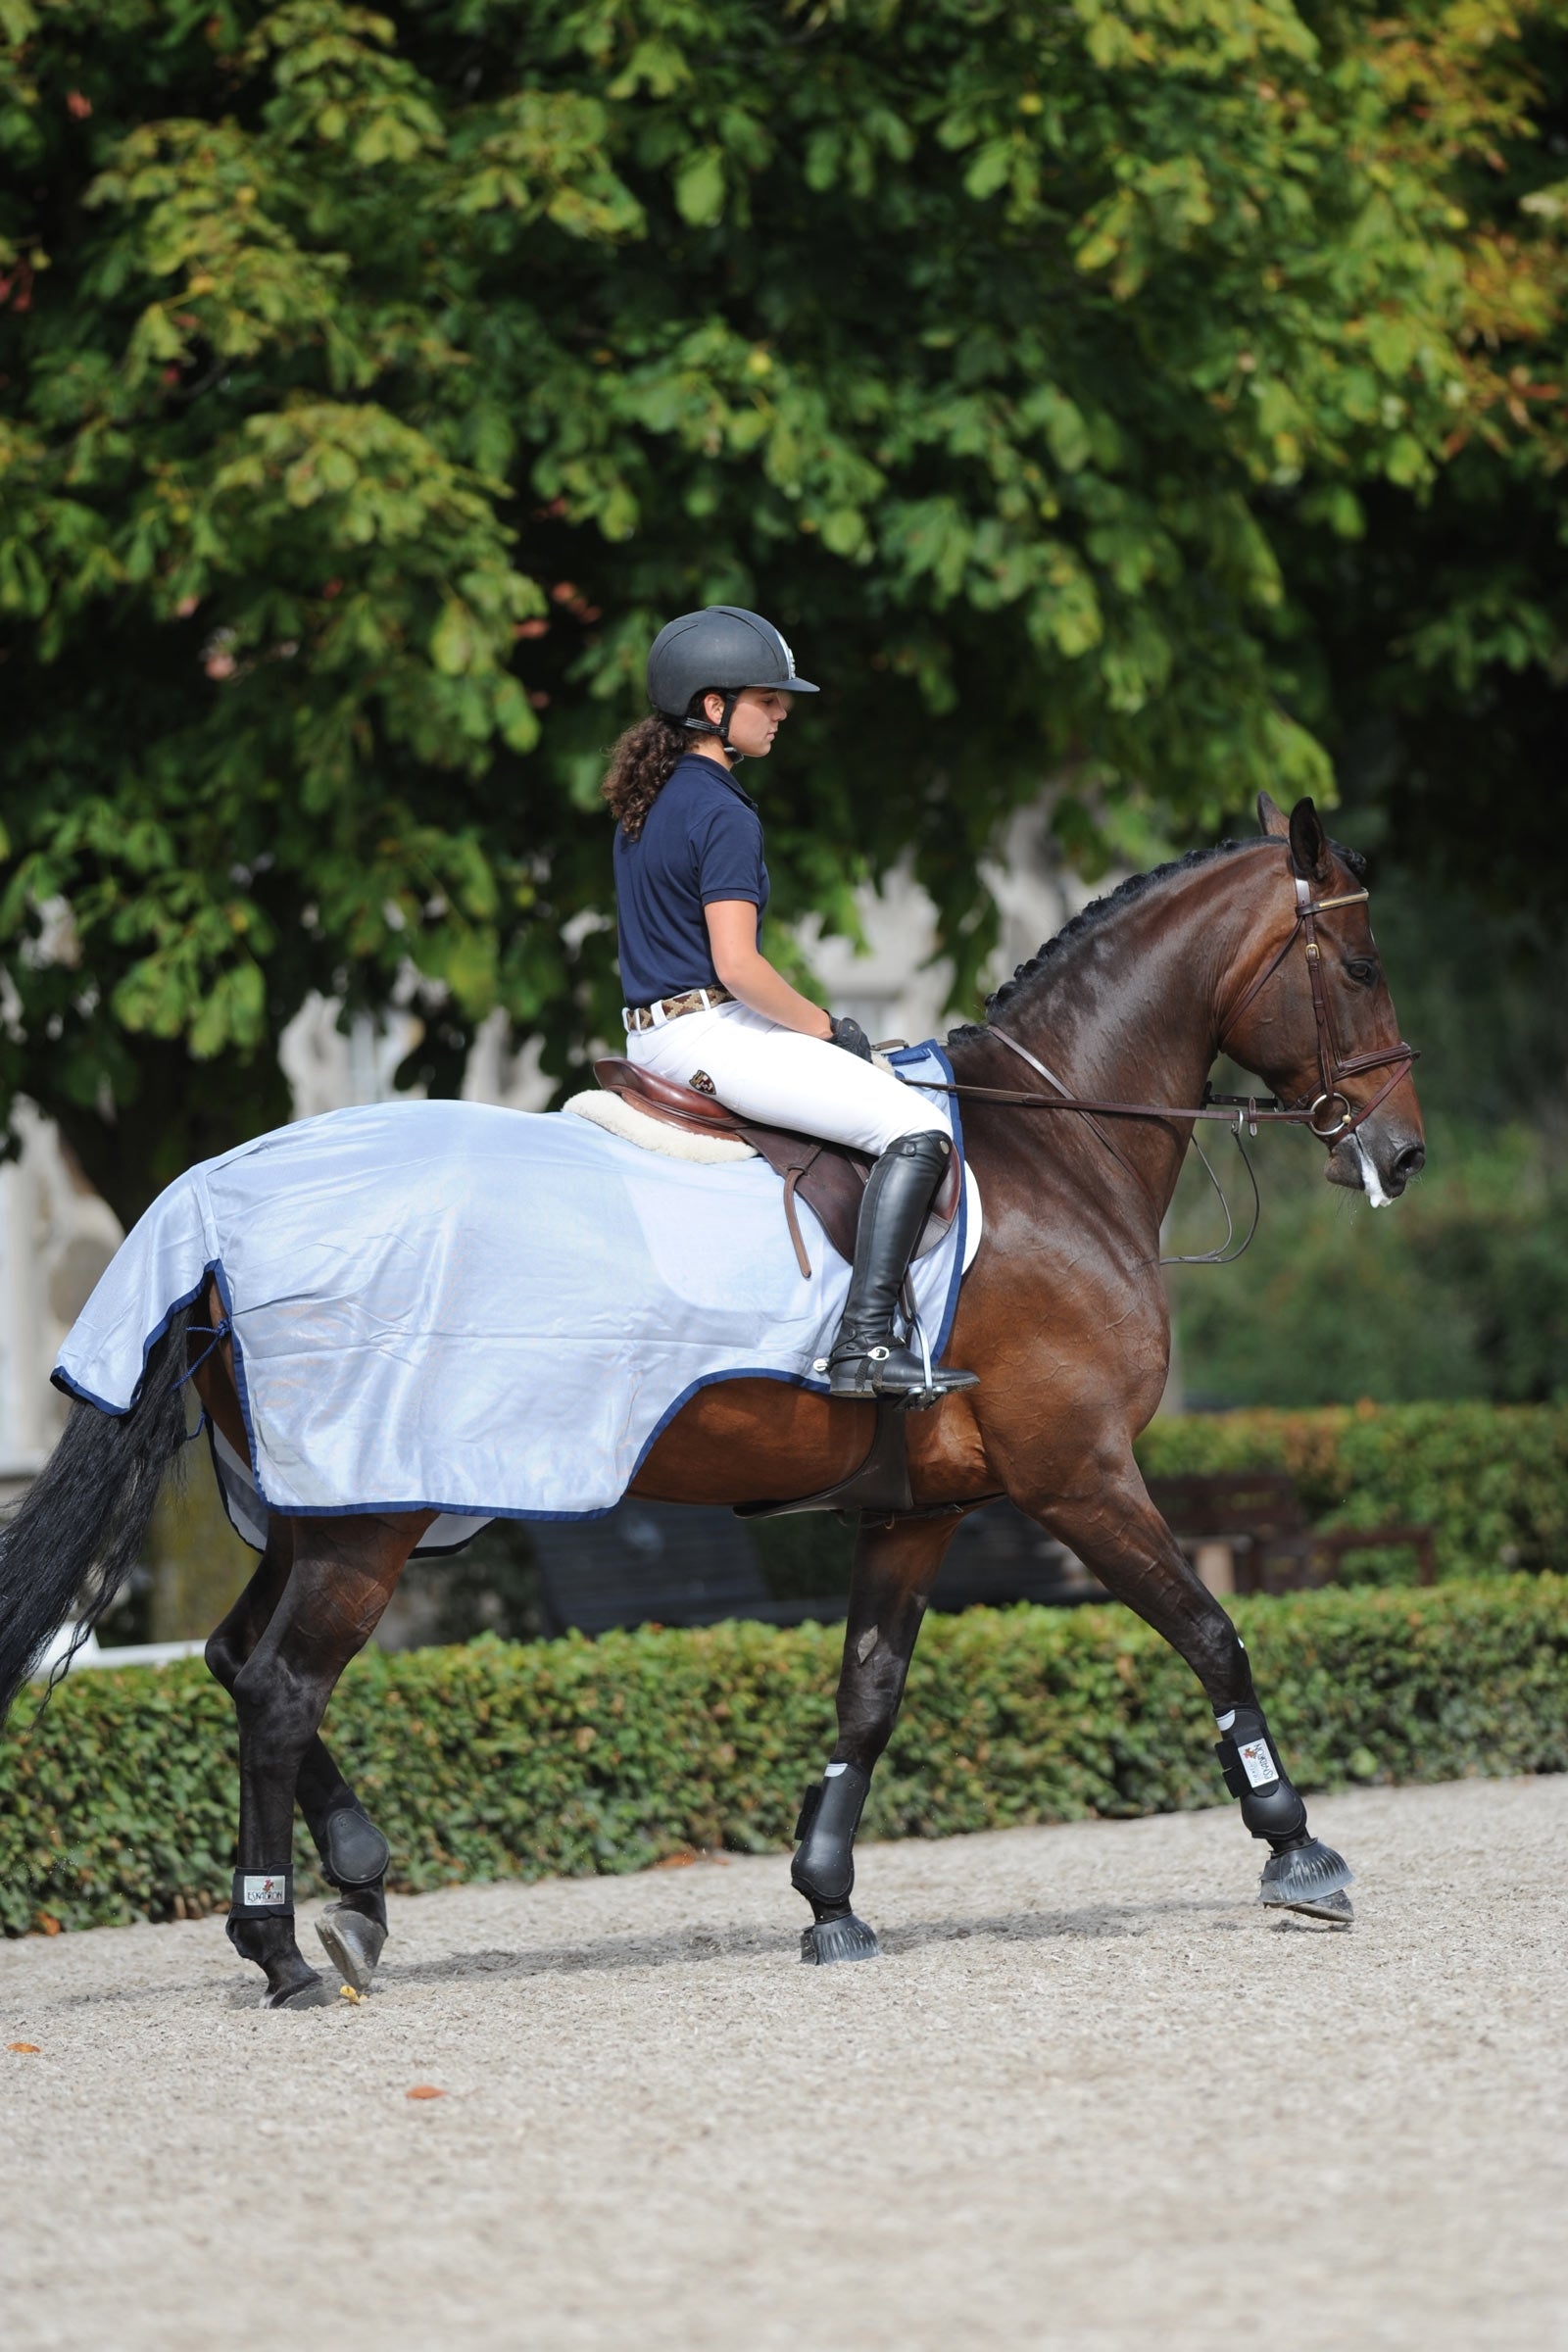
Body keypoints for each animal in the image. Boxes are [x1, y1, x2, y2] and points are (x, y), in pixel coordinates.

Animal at [0, 792, 1424, 2004]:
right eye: (1359, 966)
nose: (1403, 1151)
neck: (1051, 1145)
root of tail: (217, 1199)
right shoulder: (1077, 1471)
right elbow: (1213, 1634)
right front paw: (1300, 1855)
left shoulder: (919, 1509)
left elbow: (868, 1696)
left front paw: (829, 1902)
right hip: (373, 1518)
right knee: (283, 1688)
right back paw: (292, 1943)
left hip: (316, 1505)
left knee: (235, 1662)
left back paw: (345, 1893)